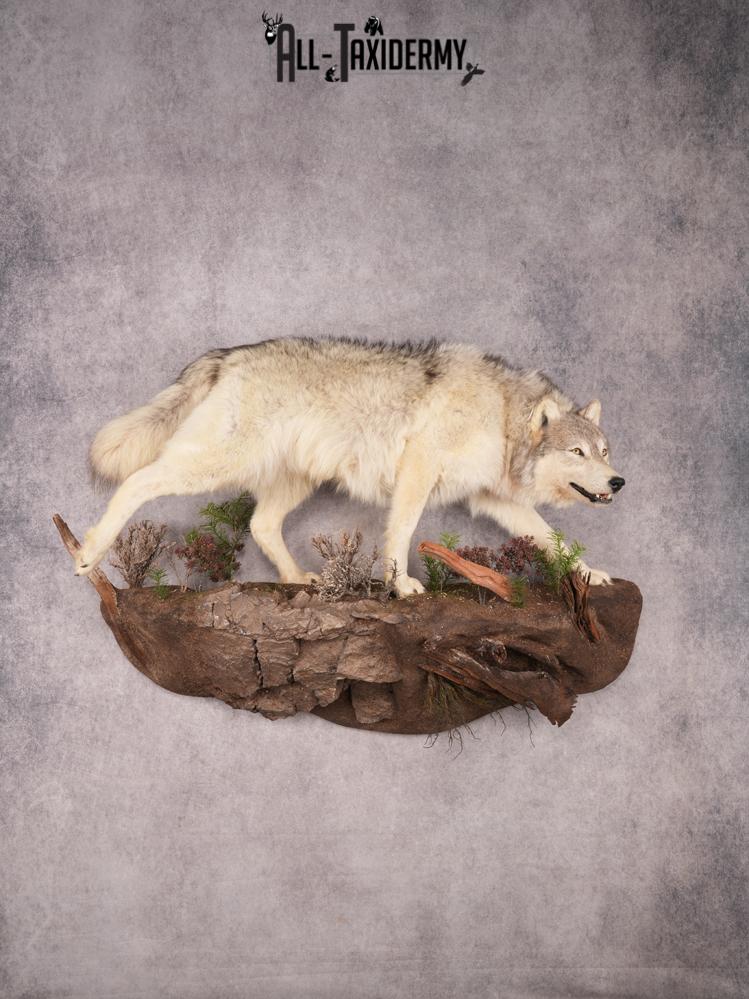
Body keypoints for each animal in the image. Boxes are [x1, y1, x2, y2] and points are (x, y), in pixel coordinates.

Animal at [76, 336, 625, 595]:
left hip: (294, 483)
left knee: (260, 524)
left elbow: (553, 540)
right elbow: (401, 532)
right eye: (577, 453)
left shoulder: (496, 501)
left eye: (604, 451)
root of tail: (229, 355)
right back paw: (89, 551)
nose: (619, 482)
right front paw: (400, 586)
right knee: (137, 482)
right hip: (213, 466)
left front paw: (591, 575)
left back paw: (296, 579)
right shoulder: (418, 469)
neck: (502, 411)